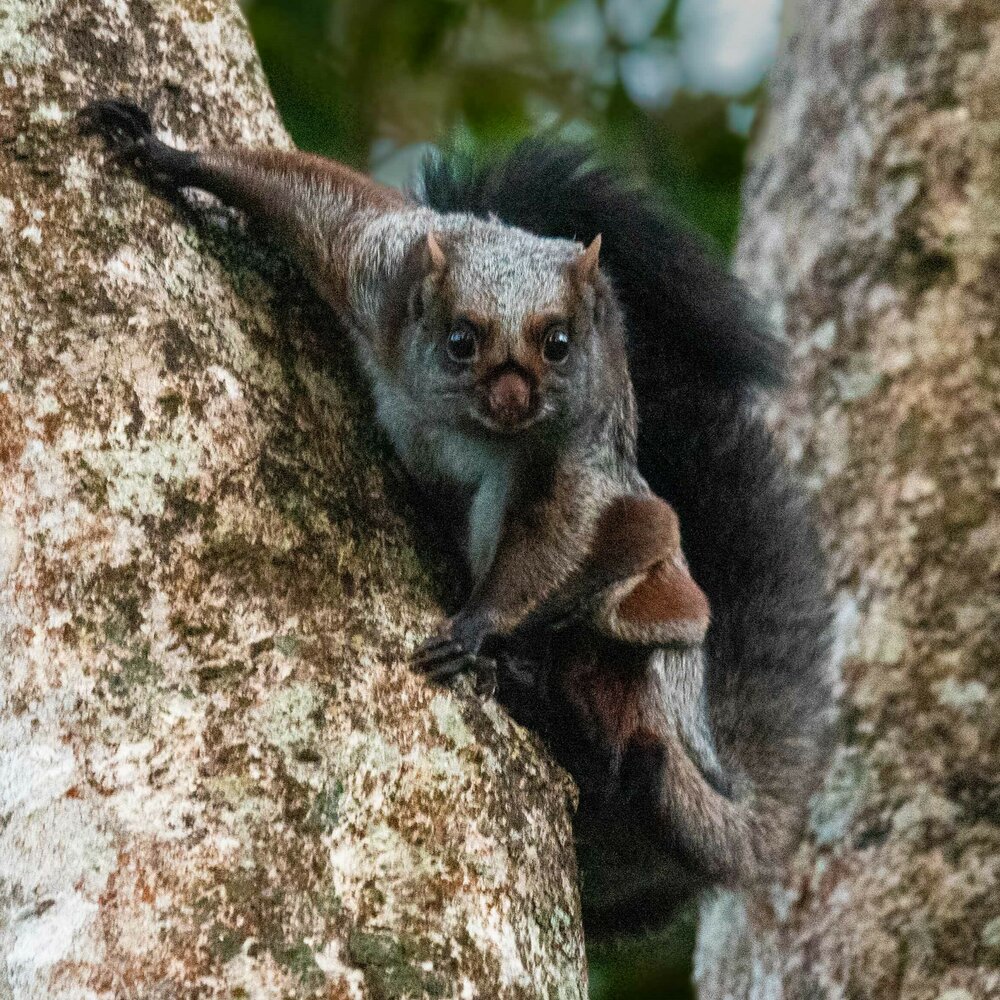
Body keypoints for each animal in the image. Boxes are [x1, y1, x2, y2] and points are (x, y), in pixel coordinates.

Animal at [80, 101, 833, 940]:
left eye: (560, 343)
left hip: (647, 620)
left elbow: (552, 538)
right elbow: (308, 196)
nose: (513, 395)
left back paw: (553, 695)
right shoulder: (376, 268)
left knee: (626, 711)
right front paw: (168, 154)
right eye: (459, 339)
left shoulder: (570, 456)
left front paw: (477, 625)